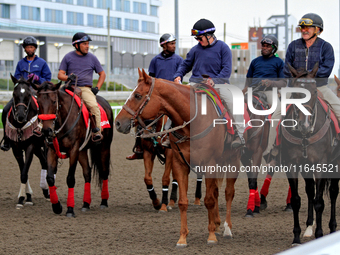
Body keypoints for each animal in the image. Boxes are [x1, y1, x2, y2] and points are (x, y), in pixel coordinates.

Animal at [2, 74, 49, 208]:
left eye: (28, 94)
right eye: (14, 94)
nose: (21, 116)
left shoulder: (30, 147)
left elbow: (24, 173)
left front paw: (23, 198)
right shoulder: (16, 149)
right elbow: (24, 172)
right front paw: (26, 197)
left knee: (45, 163)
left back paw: (47, 192)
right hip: (38, 148)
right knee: (44, 161)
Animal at [30, 80, 113, 216]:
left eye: (54, 101)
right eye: (39, 102)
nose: (47, 130)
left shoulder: (73, 150)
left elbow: (70, 179)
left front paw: (69, 209)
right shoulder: (52, 150)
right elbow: (50, 178)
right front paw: (57, 206)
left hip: (104, 147)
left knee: (104, 172)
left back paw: (104, 202)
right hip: (82, 151)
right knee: (87, 172)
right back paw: (86, 204)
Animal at [115, 69, 240, 247]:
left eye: (138, 95)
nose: (118, 123)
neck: (192, 124)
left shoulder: (207, 163)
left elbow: (208, 199)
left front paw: (211, 237)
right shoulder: (176, 161)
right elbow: (182, 201)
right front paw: (182, 238)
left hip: (233, 160)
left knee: (228, 193)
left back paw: (227, 229)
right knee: (216, 191)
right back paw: (216, 224)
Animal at [278, 63, 340, 245]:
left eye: (313, 92)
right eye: (296, 93)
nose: (304, 125)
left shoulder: (321, 165)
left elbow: (319, 201)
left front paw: (319, 233)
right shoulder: (291, 165)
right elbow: (296, 200)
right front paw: (296, 237)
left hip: (335, 164)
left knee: (333, 192)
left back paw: (332, 227)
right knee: (310, 190)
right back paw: (308, 228)